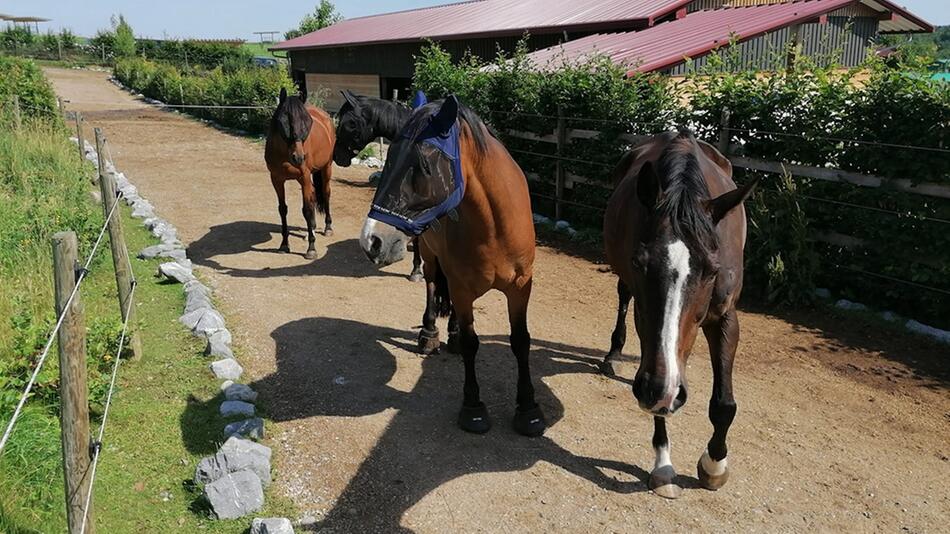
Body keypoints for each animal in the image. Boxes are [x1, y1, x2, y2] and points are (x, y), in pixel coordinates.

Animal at [264, 88, 334, 260]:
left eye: (308, 122)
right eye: (284, 120)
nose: (299, 157)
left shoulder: (304, 178)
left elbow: (307, 209)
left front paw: (311, 249)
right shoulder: (276, 179)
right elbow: (283, 209)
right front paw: (284, 245)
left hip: (326, 167)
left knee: (326, 193)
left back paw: (327, 228)